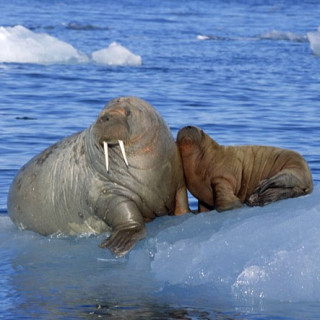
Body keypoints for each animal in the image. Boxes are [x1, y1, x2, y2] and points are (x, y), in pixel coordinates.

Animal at [7, 96, 190, 256]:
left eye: (128, 112)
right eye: (101, 111)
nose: (104, 117)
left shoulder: (178, 182)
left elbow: (182, 201)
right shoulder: (105, 191)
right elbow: (123, 212)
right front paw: (120, 242)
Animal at [175, 125, 312, 212]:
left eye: (201, 131)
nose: (188, 126)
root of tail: (310, 182)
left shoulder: (222, 177)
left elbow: (223, 196)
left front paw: (233, 205)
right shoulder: (202, 198)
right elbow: (203, 207)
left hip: (295, 168)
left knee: (282, 180)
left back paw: (260, 189)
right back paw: (259, 198)